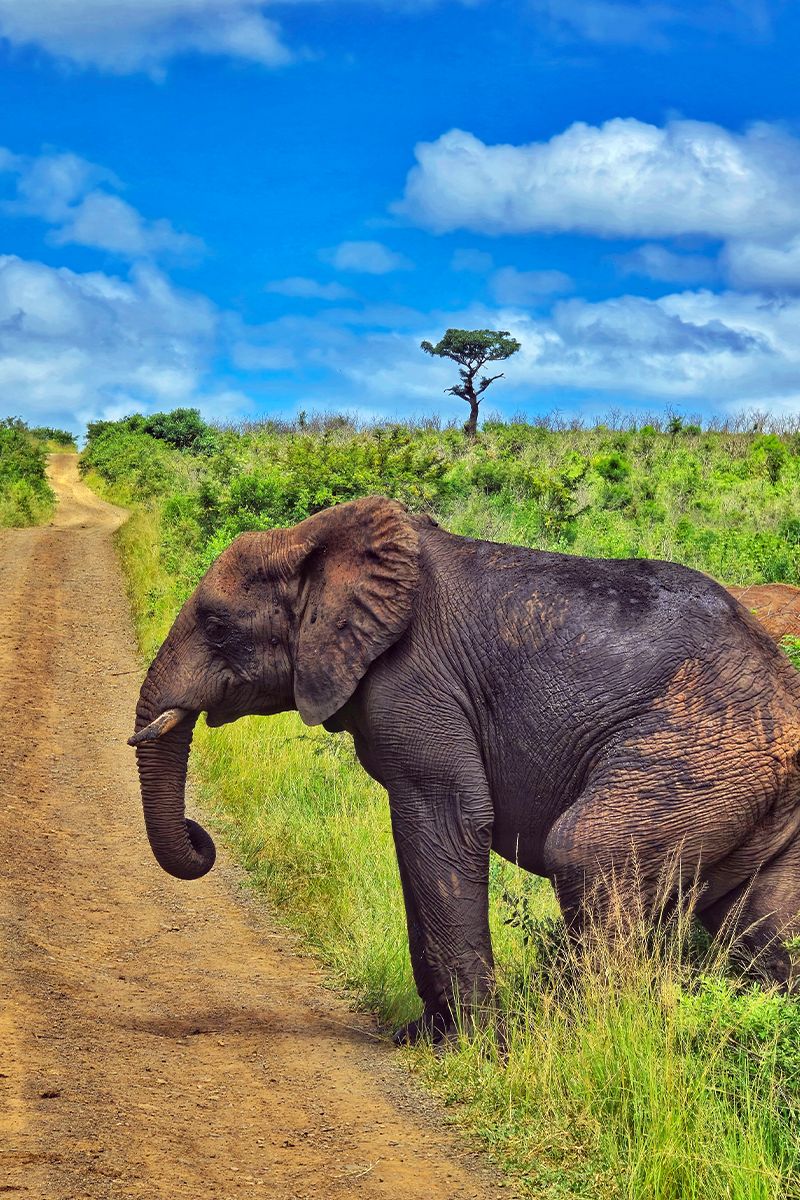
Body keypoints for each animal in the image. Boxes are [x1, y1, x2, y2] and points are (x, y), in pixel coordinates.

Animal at [130, 496, 800, 1042]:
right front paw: (426, 1037)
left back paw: (582, 1043)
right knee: (765, 921)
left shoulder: (416, 682)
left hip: (700, 752)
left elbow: (446, 820)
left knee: (586, 853)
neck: (315, 541)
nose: (200, 837)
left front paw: (462, 1047)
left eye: (217, 625)